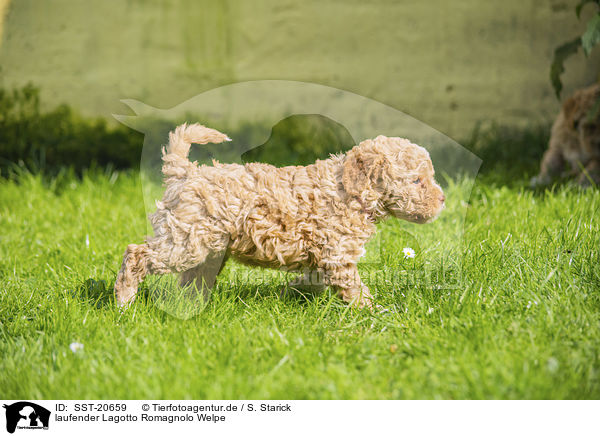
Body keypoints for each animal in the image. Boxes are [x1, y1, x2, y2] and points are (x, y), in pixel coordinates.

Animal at [116, 122, 446, 306]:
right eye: (417, 181)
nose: (442, 199)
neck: (351, 190)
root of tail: (185, 171)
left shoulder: (323, 255)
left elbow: (315, 279)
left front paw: (293, 292)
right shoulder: (337, 253)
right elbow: (353, 287)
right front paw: (372, 312)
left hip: (205, 244)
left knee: (191, 279)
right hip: (185, 239)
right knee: (137, 254)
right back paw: (124, 301)